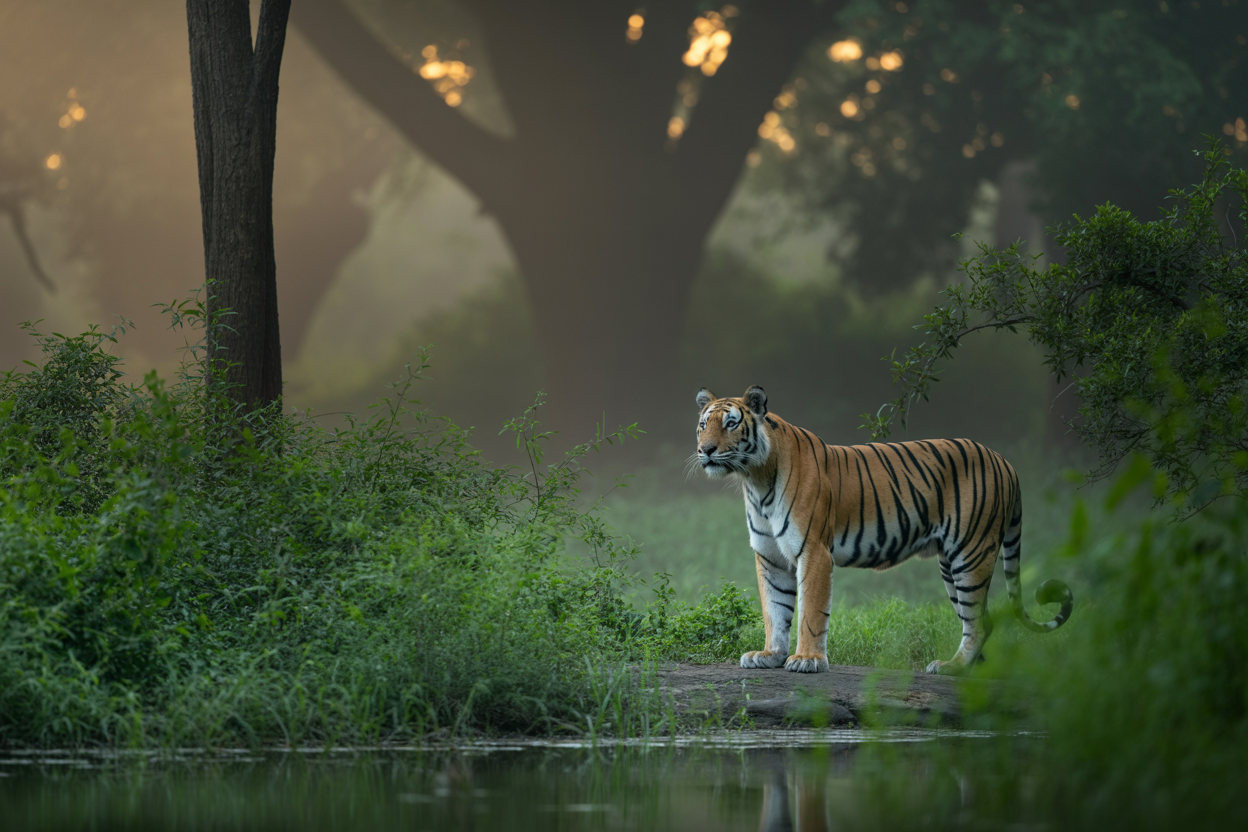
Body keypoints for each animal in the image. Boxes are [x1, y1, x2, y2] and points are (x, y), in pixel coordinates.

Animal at [694, 385, 1073, 675]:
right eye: (702, 425)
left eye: (730, 424)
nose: (705, 450)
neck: (756, 479)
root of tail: (1005, 461)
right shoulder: (771, 557)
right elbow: (774, 609)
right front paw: (769, 655)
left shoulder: (813, 551)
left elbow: (810, 611)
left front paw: (807, 659)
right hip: (952, 564)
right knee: (979, 619)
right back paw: (966, 669)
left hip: (971, 553)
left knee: (979, 620)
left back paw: (952, 667)